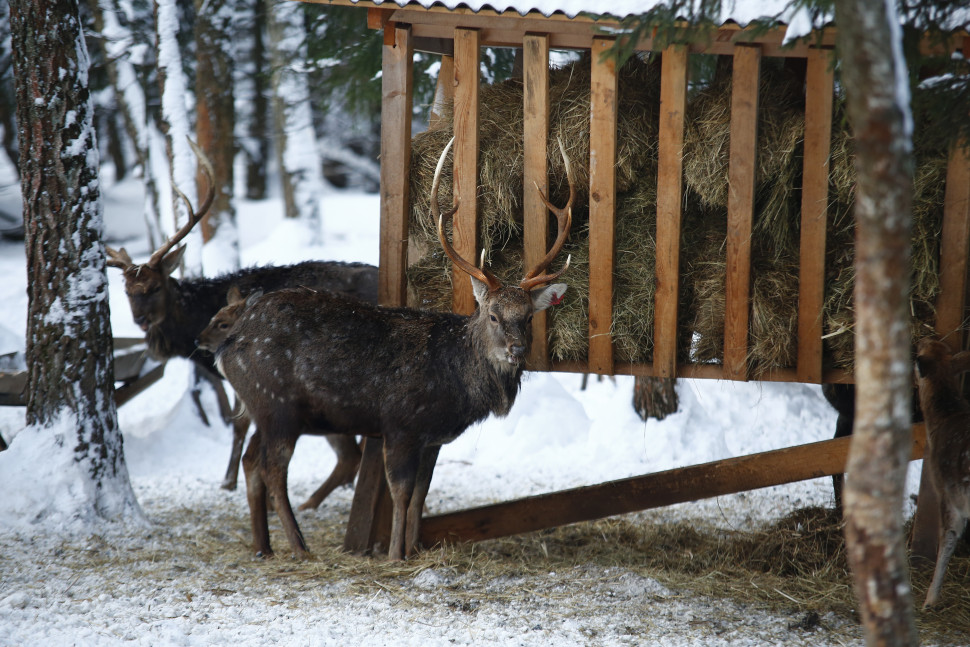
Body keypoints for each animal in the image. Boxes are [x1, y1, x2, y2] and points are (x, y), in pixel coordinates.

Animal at [216, 138, 572, 560]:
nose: (516, 350)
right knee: (272, 468)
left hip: (259, 406)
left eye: (528, 317)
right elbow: (401, 493)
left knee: (252, 459)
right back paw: (300, 547)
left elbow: (421, 494)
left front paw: (416, 547)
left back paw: (263, 546)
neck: (455, 386)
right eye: (493, 316)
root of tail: (228, 345)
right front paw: (395, 554)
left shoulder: (433, 437)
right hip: (277, 404)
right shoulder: (401, 424)